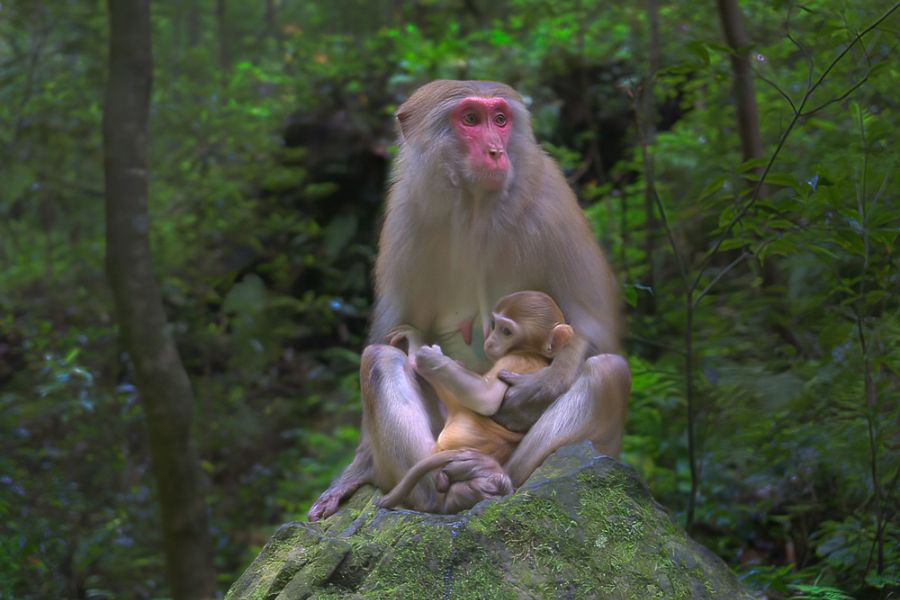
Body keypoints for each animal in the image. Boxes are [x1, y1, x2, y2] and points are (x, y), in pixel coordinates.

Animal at [376, 292, 572, 512]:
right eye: (495, 325)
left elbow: (486, 398)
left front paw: (432, 359)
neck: (531, 351)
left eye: (506, 331)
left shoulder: (515, 359)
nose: (491, 341)